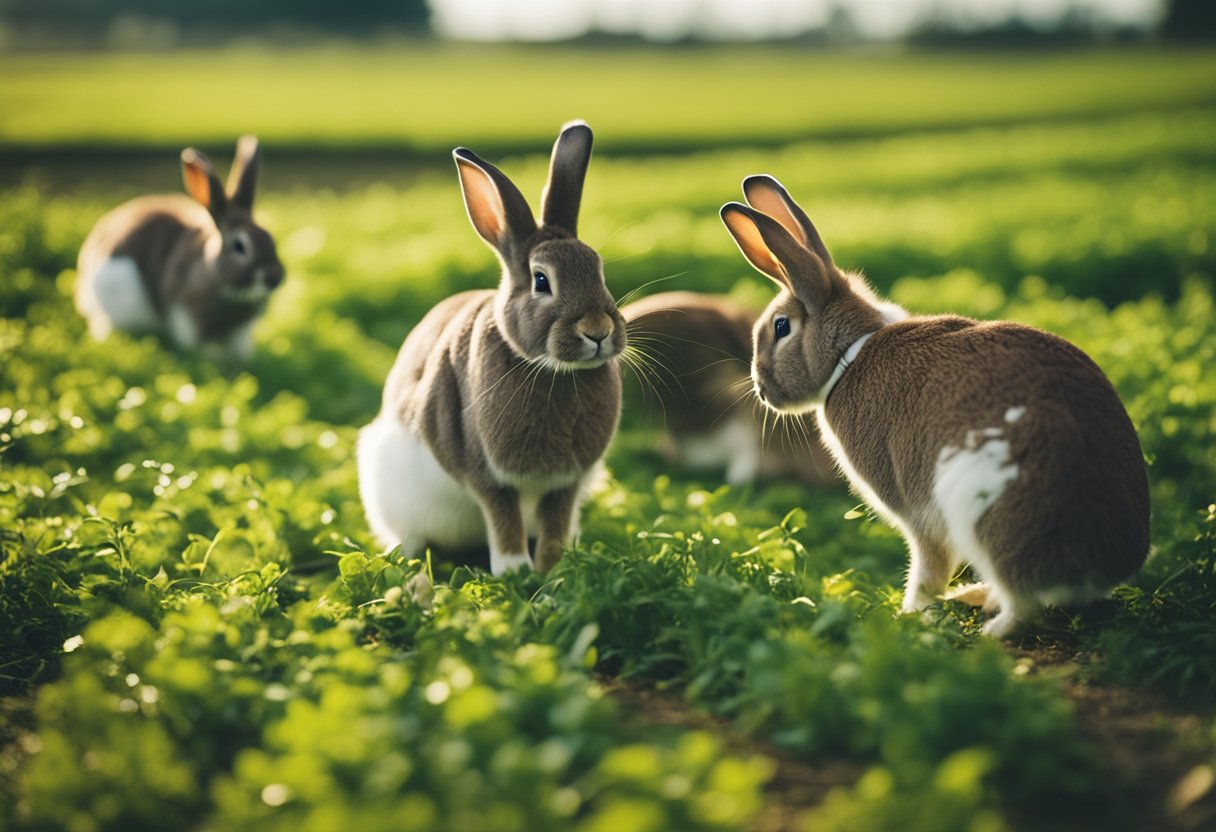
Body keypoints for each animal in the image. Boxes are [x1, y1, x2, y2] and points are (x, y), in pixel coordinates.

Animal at [357, 121, 627, 576]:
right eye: (541, 281)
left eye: (599, 269)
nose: (598, 330)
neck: (550, 369)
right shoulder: (486, 474)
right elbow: (503, 520)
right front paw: (515, 571)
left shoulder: (566, 483)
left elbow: (556, 522)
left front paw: (555, 567)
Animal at [719, 175, 1150, 637]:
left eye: (781, 328)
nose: (763, 390)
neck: (850, 353)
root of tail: (1098, 565)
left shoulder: (916, 509)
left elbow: (927, 564)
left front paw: (910, 615)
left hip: (982, 509)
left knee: (1023, 602)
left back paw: (988, 628)